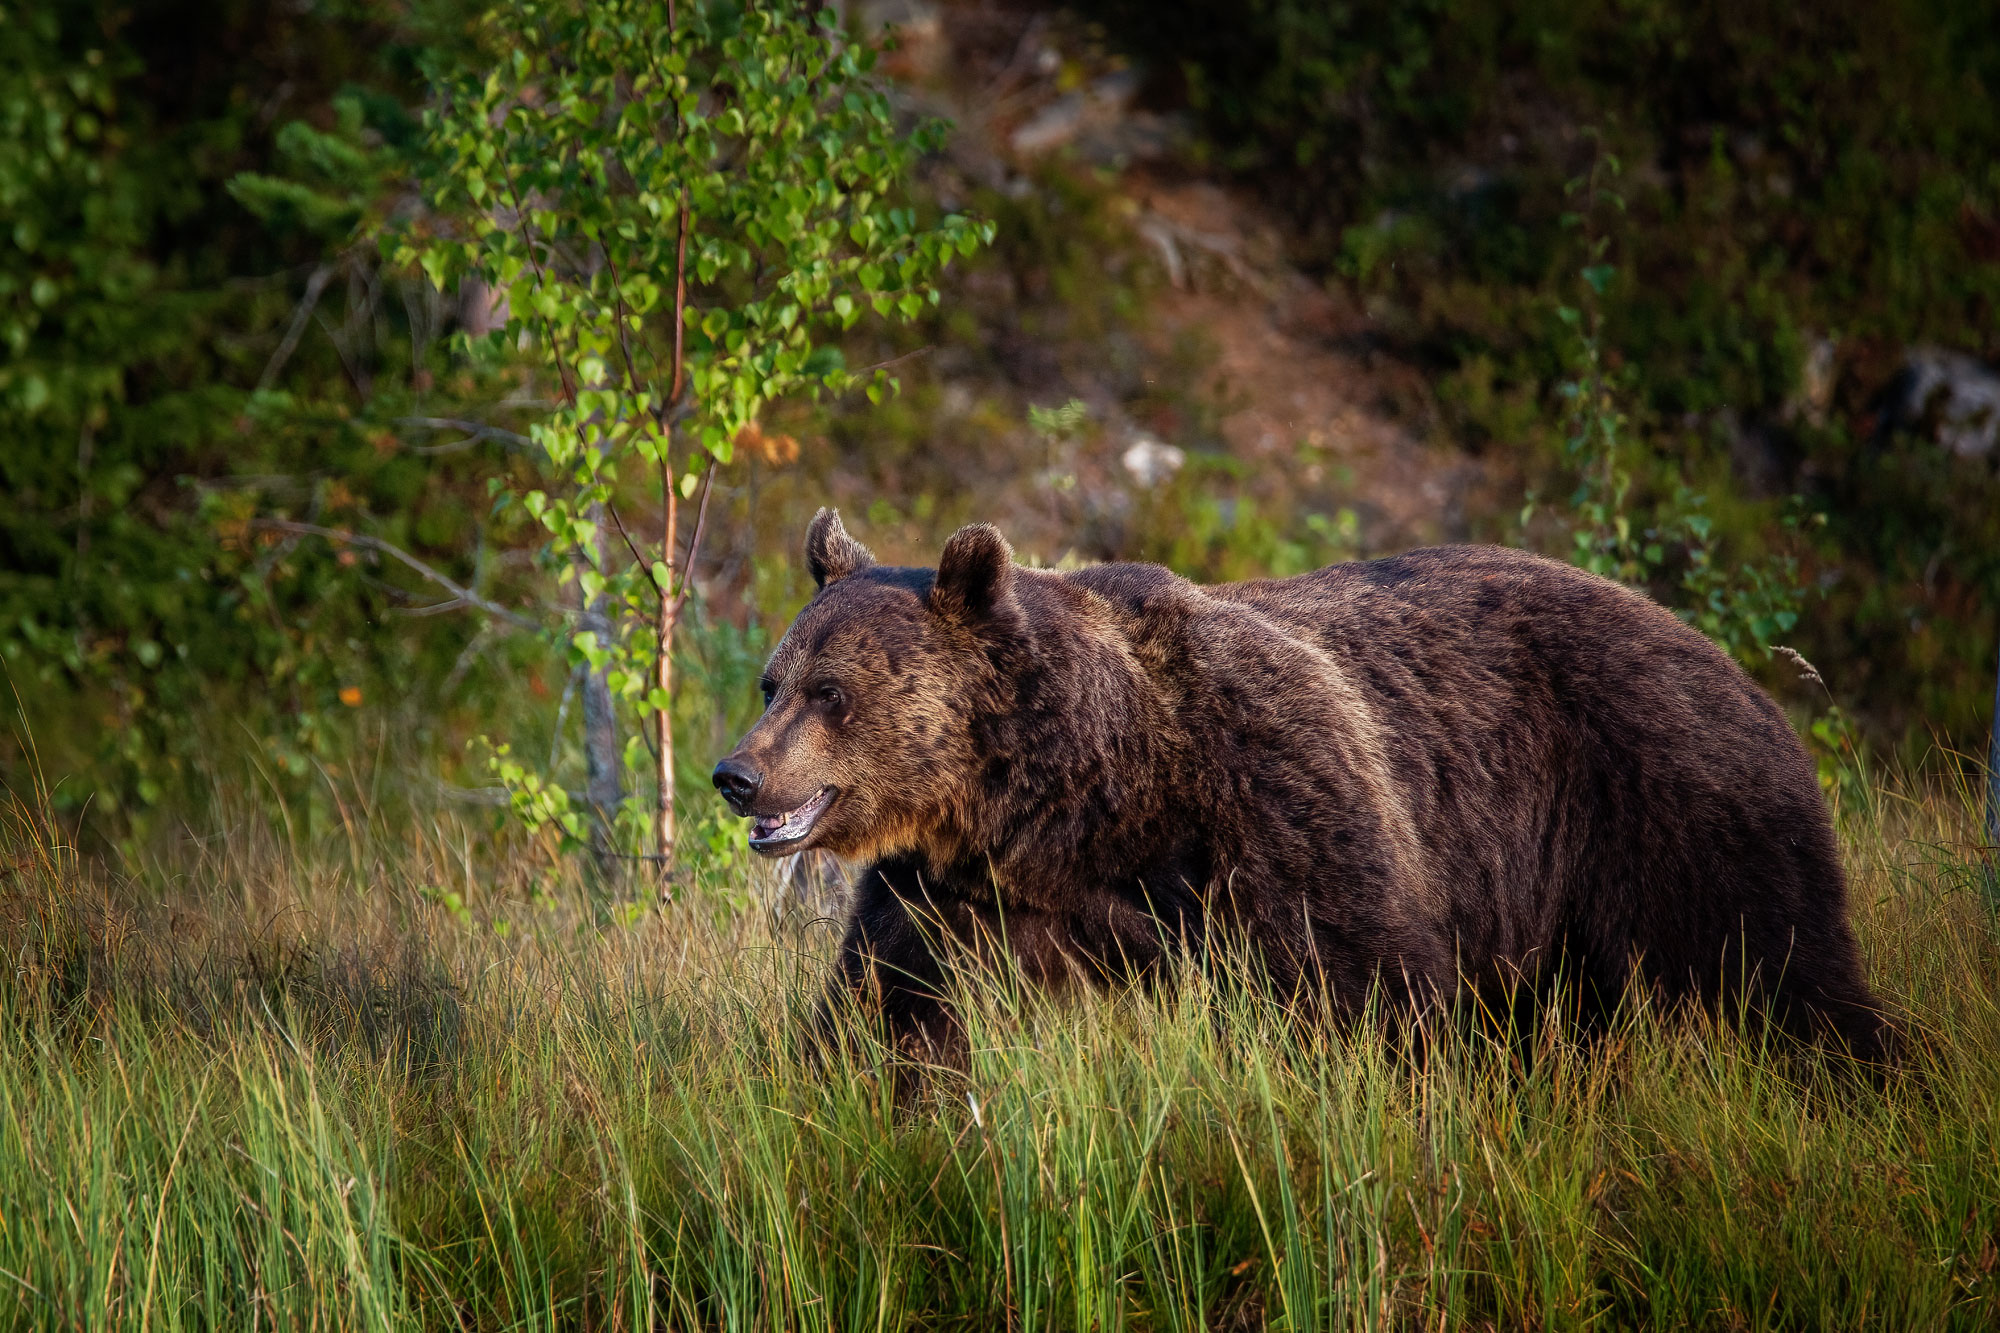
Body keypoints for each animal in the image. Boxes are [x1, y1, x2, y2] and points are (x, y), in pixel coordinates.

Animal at [716, 508, 1888, 1056]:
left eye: (829, 690)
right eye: (774, 677)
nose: (738, 773)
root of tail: (1726, 659)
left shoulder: (1273, 796)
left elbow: (1364, 988)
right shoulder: (957, 897)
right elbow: (894, 1017)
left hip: (1660, 799)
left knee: (1775, 969)